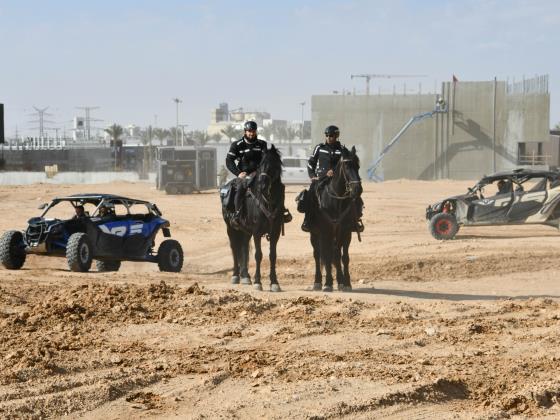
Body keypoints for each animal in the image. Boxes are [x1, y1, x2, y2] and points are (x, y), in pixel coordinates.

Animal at [222, 145, 284, 292]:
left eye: (274, 165)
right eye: (261, 164)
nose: (262, 186)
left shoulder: (275, 232)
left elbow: (273, 256)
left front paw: (274, 283)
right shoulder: (257, 231)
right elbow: (258, 255)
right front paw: (258, 282)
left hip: (245, 231)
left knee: (244, 248)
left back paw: (245, 277)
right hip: (230, 228)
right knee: (234, 248)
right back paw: (236, 276)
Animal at [306, 147, 364, 292]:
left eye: (358, 166)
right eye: (347, 166)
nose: (357, 189)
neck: (335, 200)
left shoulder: (345, 232)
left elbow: (343, 257)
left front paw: (345, 283)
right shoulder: (325, 232)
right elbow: (326, 257)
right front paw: (328, 283)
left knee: (335, 254)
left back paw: (339, 280)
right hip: (314, 234)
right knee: (317, 255)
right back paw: (318, 282)